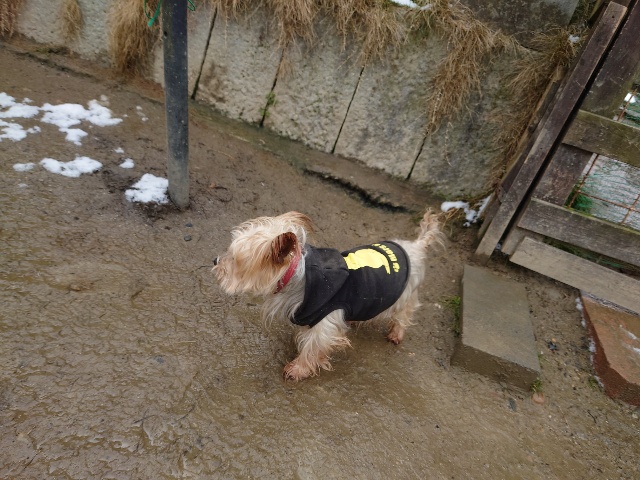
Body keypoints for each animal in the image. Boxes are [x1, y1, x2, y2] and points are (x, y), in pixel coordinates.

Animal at [213, 210, 443, 381]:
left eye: (234, 259)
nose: (215, 261)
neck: (298, 276)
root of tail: (416, 246)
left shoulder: (325, 322)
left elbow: (313, 347)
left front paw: (298, 369)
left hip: (404, 294)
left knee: (404, 313)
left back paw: (396, 333)